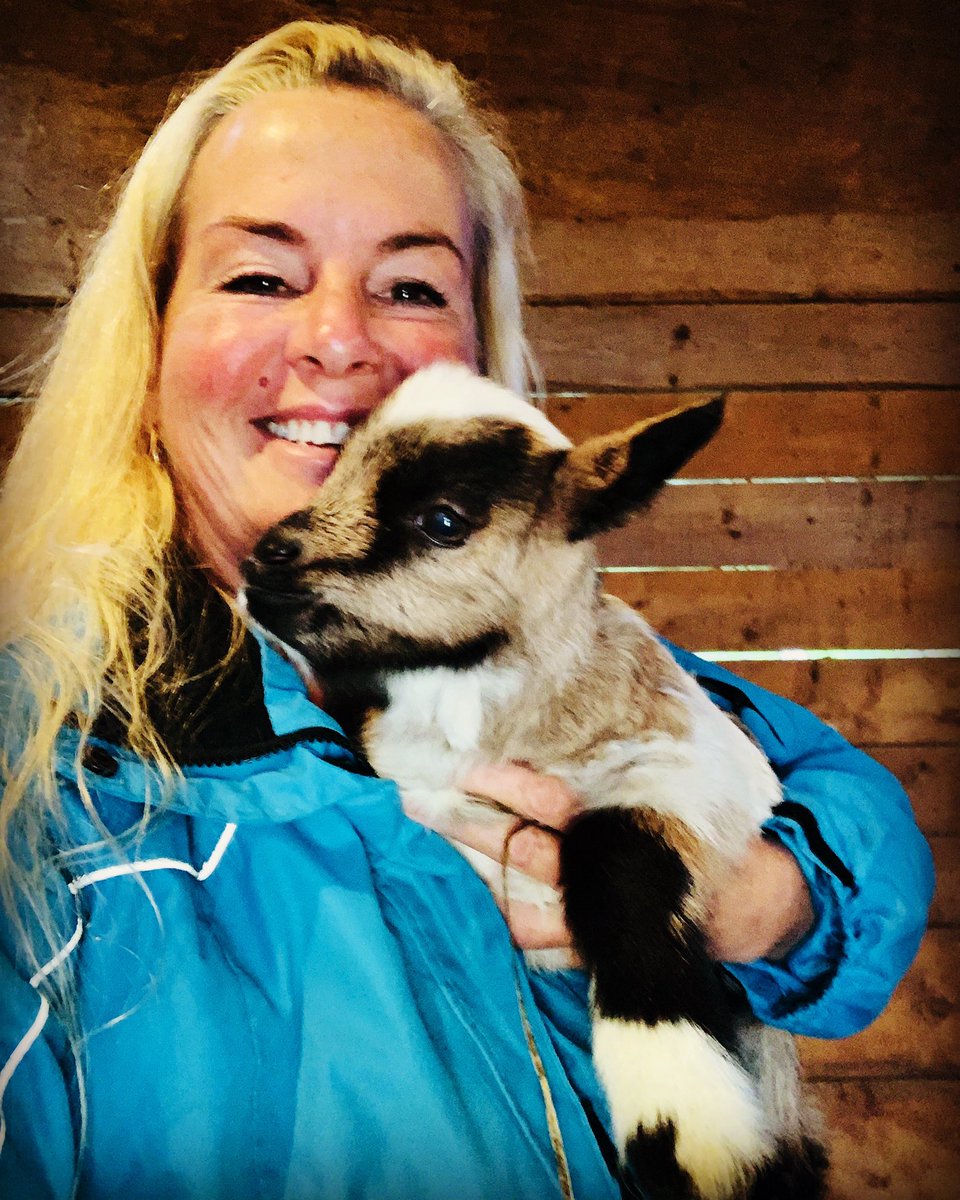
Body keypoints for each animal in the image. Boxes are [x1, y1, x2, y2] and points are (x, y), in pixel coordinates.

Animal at [239, 362, 827, 1200]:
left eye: (442, 520)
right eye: (334, 467)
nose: (265, 558)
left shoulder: (690, 773)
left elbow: (617, 862)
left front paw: (679, 1118)